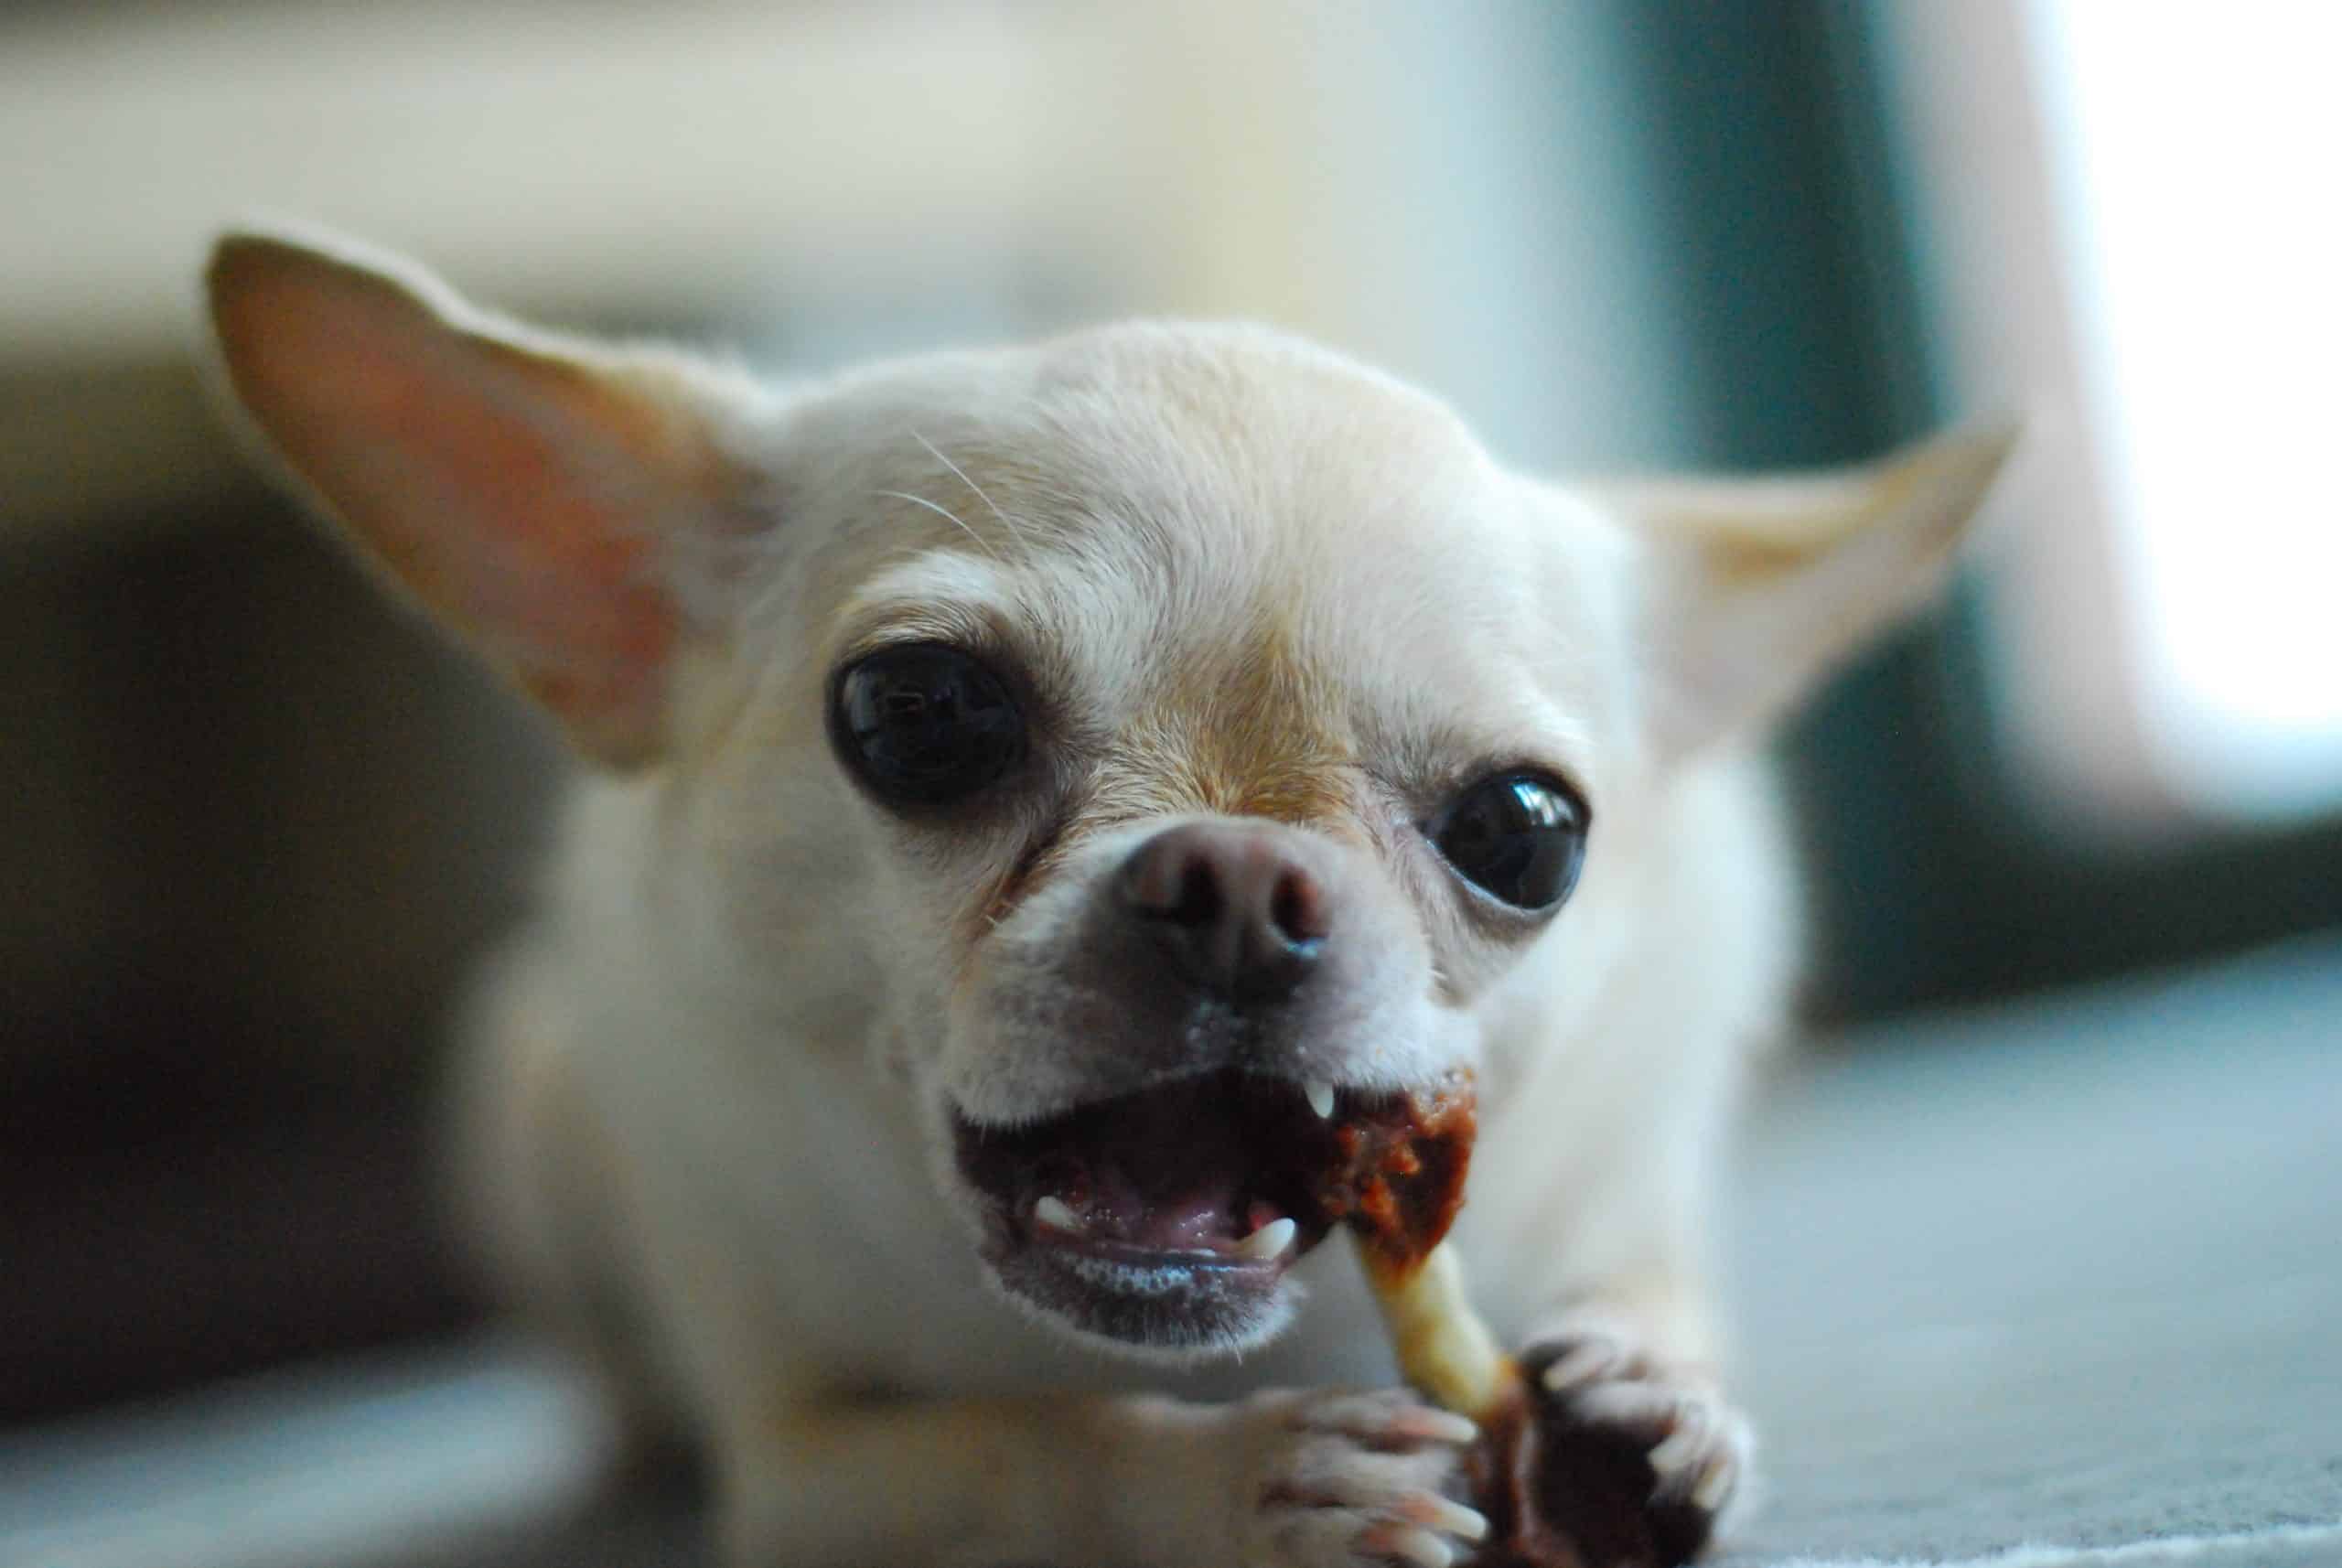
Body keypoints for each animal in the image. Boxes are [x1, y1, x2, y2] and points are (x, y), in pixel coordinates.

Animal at [201, 230, 2014, 1568]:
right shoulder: (809, 1475)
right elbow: (1031, 1445)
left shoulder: (1629, 1192)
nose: (1242, 880)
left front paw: (1657, 1396)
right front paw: (1243, 1481)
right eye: (921, 710)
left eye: (1525, 832)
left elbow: (1651, 1295)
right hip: (513, 1104)